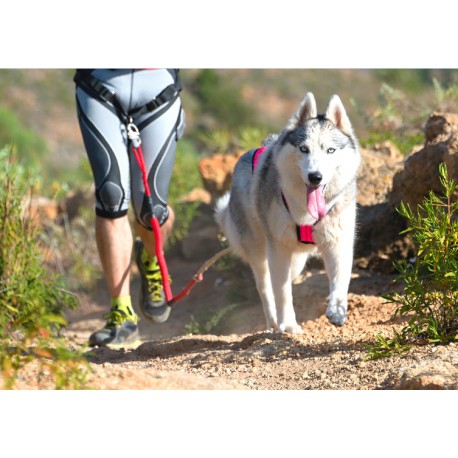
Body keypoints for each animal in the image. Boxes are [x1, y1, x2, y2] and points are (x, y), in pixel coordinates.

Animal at [216, 93, 362, 334]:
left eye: (330, 150)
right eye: (304, 149)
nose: (315, 177)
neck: (307, 215)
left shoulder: (338, 242)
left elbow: (340, 280)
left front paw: (337, 310)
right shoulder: (279, 248)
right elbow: (282, 293)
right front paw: (289, 325)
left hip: (297, 261)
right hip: (259, 252)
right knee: (266, 288)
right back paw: (273, 323)